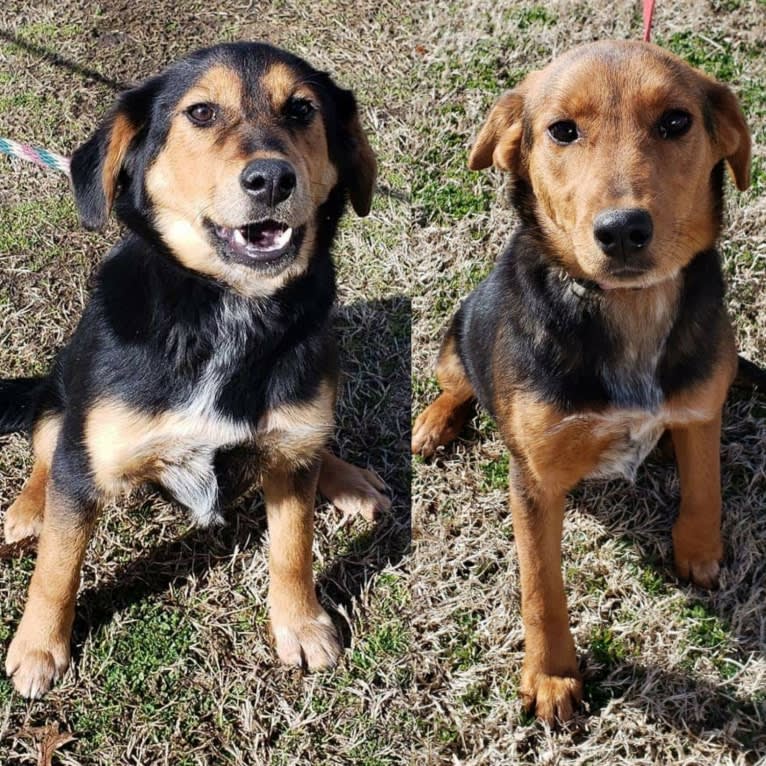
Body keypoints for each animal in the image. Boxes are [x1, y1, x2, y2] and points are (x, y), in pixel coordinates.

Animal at [0, 42, 390, 704]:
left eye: (302, 109)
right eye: (201, 112)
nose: (271, 179)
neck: (229, 308)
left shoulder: (291, 449)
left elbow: (293, 547)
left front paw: (302, 625)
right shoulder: (87, 457)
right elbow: (58, 561)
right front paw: (37, 649)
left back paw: (350, 481)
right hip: (62, 391)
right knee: (45, 448)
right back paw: (28, 509)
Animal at [414, 42, 756, 728]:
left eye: (676, 122)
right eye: (562, 131)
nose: (622, 230)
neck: (629, 310)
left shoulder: (702, 407)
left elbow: (705, 483)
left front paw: (699, 549)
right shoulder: (535, 479)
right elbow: (541, 587)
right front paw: (551, 676)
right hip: (459, 334)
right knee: (457, 383)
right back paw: (434, 422)